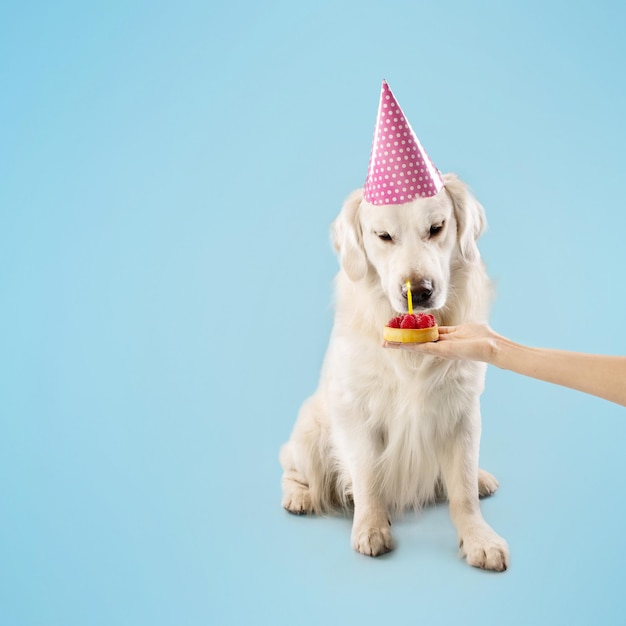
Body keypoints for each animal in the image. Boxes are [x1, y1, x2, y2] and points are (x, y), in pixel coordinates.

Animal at [280, 172, 510, 572]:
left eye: (436, 228)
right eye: (383, 236)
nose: (419, 291)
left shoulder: (462, 411)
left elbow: (462, 489)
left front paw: (479, 538)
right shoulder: (356, 411)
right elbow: (368, 477)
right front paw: (371, 528)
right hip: (310, 432)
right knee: (290, 467)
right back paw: (299, 496)